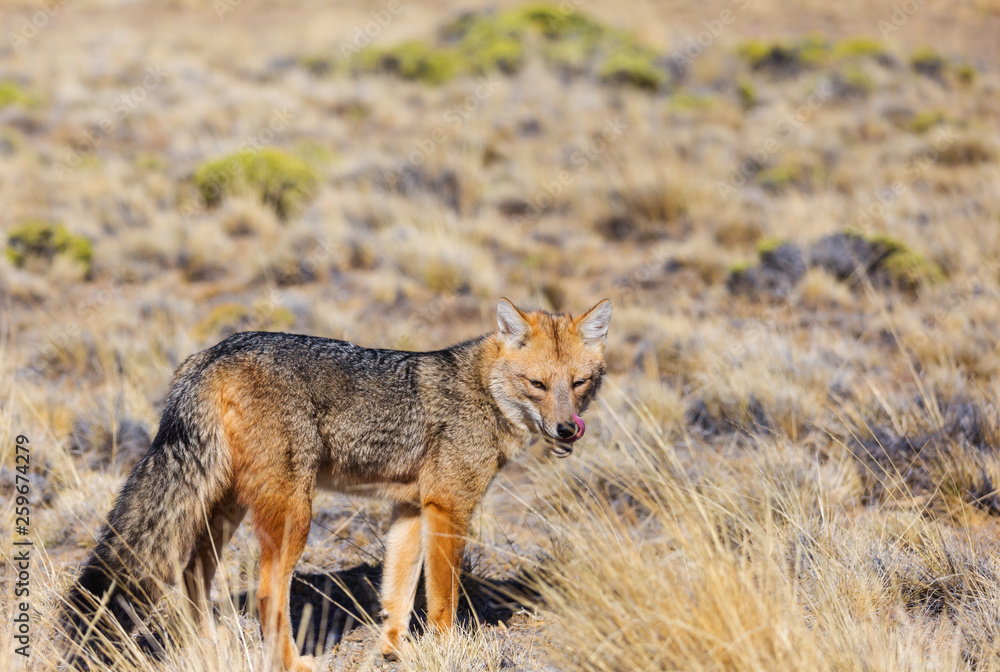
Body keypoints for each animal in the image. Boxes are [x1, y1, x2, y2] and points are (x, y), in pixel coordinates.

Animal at [62, 297, 611, 670]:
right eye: (537, 385)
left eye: (579, 383)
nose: (567, 429)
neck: (482, 390)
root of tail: (215, 352)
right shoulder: (448, 507)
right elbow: (442, 600)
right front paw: (447, 649)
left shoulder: (410, 510)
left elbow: (397, 593)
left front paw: (392, 650)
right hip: (293, 513)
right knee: (268, 593)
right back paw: (288, 663)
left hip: (224, 507)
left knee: (194, 574)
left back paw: (210, 646)